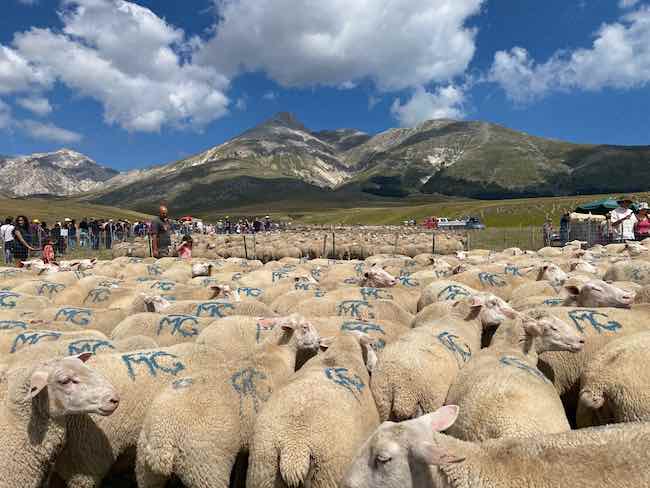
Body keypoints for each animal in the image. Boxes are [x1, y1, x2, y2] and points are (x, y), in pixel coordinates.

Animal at [135, 314, 320, 488]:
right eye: (305, 327)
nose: (319, 342)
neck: (274, 353)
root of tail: (163, 436)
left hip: (146, 469)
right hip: (206, 466)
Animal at [370, 296, 516, 422]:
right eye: (493, 303)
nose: (514, 314)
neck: (460, 318)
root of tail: (403, 394)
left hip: (383, 404)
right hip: (429, 401)